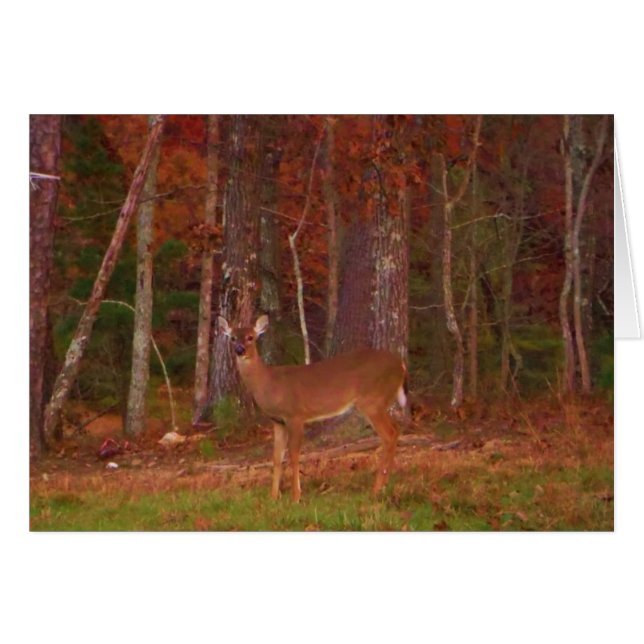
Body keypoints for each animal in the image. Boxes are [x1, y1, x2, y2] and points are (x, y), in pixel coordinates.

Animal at [218, 314, 408, 502]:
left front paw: (296, 496)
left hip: (371, 400)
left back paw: (376, 489)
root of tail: (401, 365)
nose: (239, 349)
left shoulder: (295, 415)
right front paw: (273, 497)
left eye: (251, 337)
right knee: (396, 429)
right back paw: (384, 484)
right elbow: (277, 458)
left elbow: (294, 455)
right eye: (233, 337)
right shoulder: (278, 421)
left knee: (389, 434)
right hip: (379, 402)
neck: (268, 383)